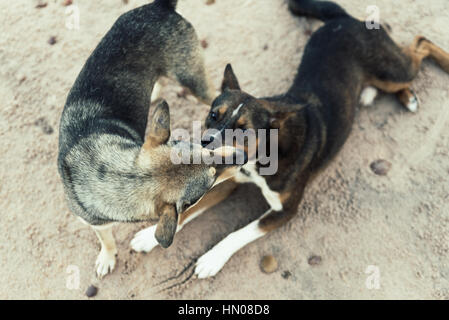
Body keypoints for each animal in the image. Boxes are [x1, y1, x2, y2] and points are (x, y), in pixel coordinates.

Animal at [59, 0, 245, 278]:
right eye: (211, 180)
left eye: (206, 151)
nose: (242, 157)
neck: (119, 175)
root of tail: (161, 5)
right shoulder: (95, 222)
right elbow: (106, 238)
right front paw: (107, 256)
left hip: (193, 80)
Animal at [129, 0, 448, 278]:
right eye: (213, 115)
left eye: (243, 129)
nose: (205, 143)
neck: (265, 157)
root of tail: (345, 19)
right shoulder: (229, 180)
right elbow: (192, 208)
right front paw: (149, 237)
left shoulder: (285, 211)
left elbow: (238, 233)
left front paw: (212, 259)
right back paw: (393, 95)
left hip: (391, 69)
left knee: (420, 43)